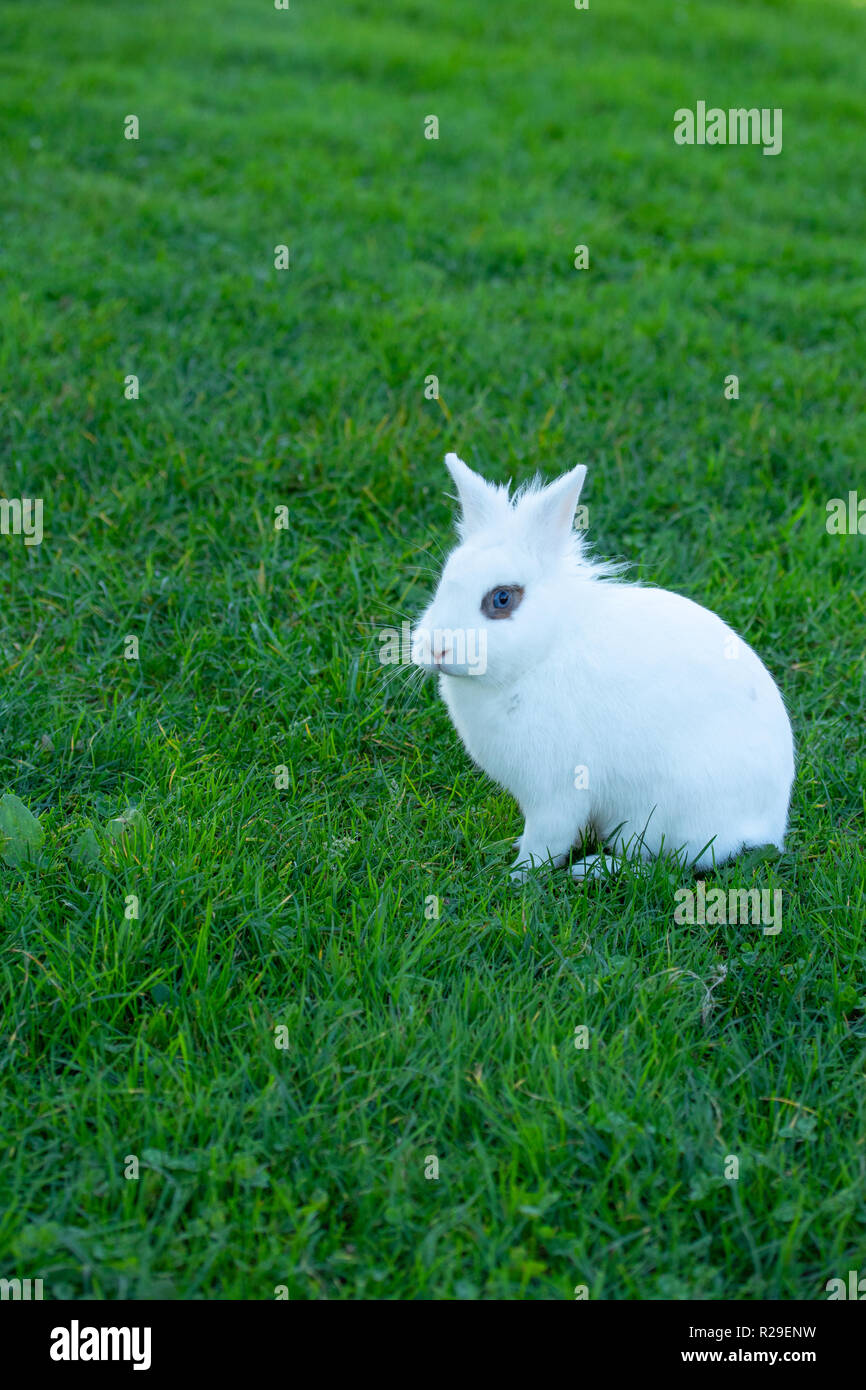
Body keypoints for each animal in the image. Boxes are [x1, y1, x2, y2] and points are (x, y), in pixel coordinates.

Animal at [408, 461, 795, 884]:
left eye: (502, 598)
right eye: (445, 582)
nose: (436, 648)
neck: (542, 652)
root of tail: (768, 827)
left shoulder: (556, 793)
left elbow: (548, 841)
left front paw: (517, 878)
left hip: (659, 818)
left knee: (661, 866)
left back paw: (592, 869)